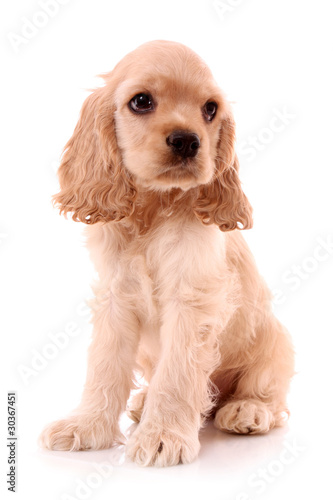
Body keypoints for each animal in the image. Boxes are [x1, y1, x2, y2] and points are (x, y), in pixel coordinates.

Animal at [39, 41, 294, 466]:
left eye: (210, 108)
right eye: (141, 101)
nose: (188, 141)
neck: (153, 210)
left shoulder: (192, 300)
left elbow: (177, 374)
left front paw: (163, 436)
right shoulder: (115, 297)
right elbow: (105, 366)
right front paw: (87, 427)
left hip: (274, 343)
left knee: (267, 392)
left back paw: (247, 410)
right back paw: (144, 402)